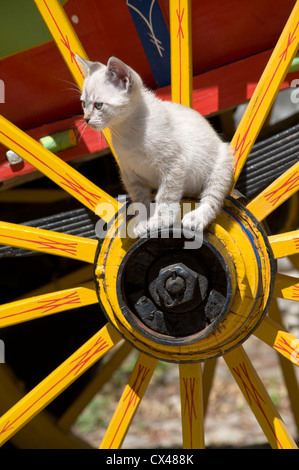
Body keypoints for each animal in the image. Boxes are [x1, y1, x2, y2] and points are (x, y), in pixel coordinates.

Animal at [75, 55, 234, 237]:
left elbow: (165, 196)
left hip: (221, 164)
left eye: (98, 105)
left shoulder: (173, 165)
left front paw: (160, 220)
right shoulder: (130, 175)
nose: (86, 119)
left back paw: (197, 218)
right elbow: (140, 201)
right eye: (83, 104)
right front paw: (143, 222)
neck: (126, 133)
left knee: (212, 199)